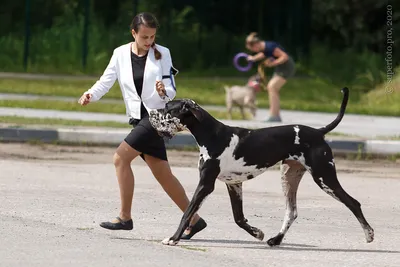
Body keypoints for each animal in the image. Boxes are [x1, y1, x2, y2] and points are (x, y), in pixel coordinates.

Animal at [148, 87, 376, 247]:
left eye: (168, 109)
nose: (150, 113)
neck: (212, 135)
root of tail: (319, 132)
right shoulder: (234, 184)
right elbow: (238, 218)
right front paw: (257, 233)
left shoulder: (205, 185)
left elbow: (187, 213)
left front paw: (173, 238)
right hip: (289, 178)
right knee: (291, 212)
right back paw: (276, 239)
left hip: (324, 177)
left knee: (353, 203)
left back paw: (369, 234)